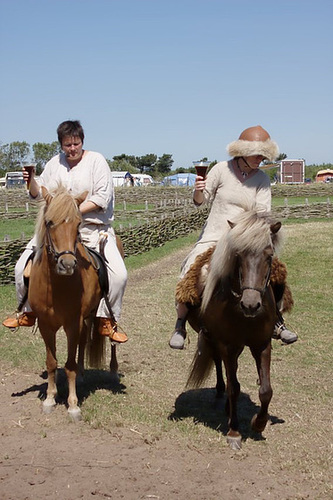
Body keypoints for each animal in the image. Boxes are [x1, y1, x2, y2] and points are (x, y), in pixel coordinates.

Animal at [27, 186, 118, 420]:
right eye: (49, 222)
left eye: (78, 223)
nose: (67, 265)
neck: (57, 286)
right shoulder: (46, 325)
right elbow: (52, 362)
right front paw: (50, 398)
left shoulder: (71, 324)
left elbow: (69, 365)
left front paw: (73, 404)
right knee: (84, 341)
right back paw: (83, 374)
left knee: (112, 337)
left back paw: (113, 371)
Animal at [185, 207, 282, 450]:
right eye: (238, 255)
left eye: (269, 256)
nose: (251, 304)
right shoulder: (228, 345)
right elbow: (234, 388)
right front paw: (234, 431)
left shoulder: (262, 345)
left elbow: (266, 389)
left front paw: (259, 423)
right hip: (215, 340)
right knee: (222, 370)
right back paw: (222, 394)